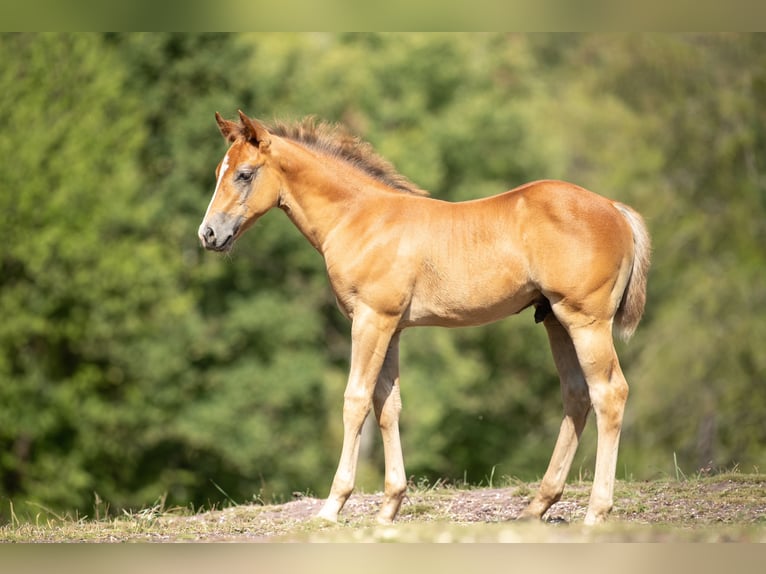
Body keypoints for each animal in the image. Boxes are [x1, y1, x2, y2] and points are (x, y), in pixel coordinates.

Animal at [198, 110, 651, 526]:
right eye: (219, 171)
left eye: (243, 174)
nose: (208, 234)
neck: (359, 218)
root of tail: (615, 208)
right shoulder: (392, 327)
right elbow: (388, 405)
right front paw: (389, 506)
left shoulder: (370, 319)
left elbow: (356, 400)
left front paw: (332, 507)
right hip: (556, 320)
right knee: (576, 396)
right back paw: (537, 506)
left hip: (586, 321)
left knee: (610, 393)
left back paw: (595, 511)